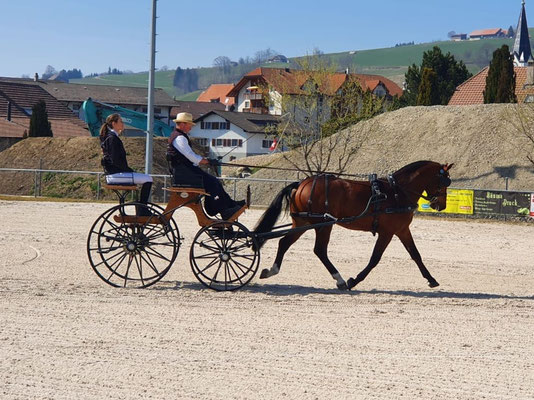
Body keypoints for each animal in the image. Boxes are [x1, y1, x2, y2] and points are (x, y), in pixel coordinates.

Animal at [253, 160, 454, 290]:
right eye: (444, 181)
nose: (441, 205)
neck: (397, 192)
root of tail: (301, 183)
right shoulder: (388, 232)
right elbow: (375, 259)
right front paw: (354, 280)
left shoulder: (402, 230)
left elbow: (416, 255)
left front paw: (431, 279)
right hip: (323, 224)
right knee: (319, 250)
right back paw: (340, 280)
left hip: (302, 222)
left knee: (284, 243)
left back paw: (271, 270)